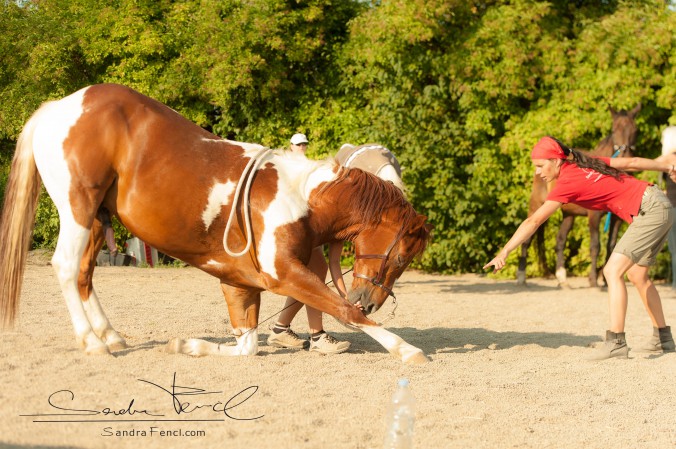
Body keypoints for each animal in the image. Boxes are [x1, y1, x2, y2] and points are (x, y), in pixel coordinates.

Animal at [0, 83, 434, 364]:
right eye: (402, 257)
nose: (370, 299)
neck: (301, 197)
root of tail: (59, 106)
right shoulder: (283, 273)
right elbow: (344, 311)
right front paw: (407, 350)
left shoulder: (239, 283)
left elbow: (247, 345)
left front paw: (187, 346)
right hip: (78, 207)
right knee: (66, 267)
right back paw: (93, 343)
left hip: (94, 220)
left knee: (85, 274)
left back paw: (111, 335)